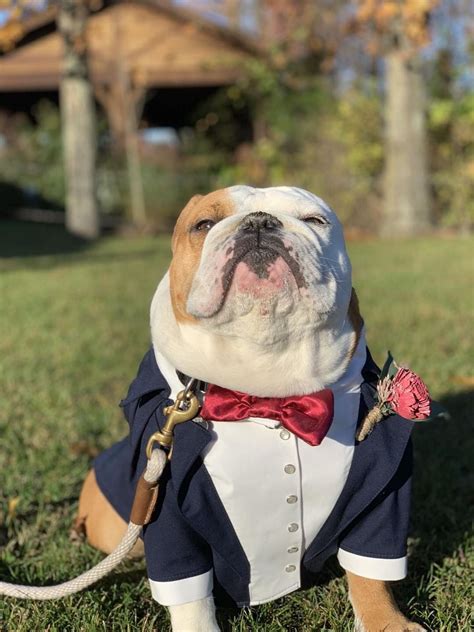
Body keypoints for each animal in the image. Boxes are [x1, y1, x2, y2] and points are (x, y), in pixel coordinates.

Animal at [78, 185, 426, 628]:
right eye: (203, 224)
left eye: (315, 220)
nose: (259, 222)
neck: (266, 388)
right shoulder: (168, 511)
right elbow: (189, 596)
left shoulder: (383, 490)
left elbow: (372, 575)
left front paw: (387, 622)